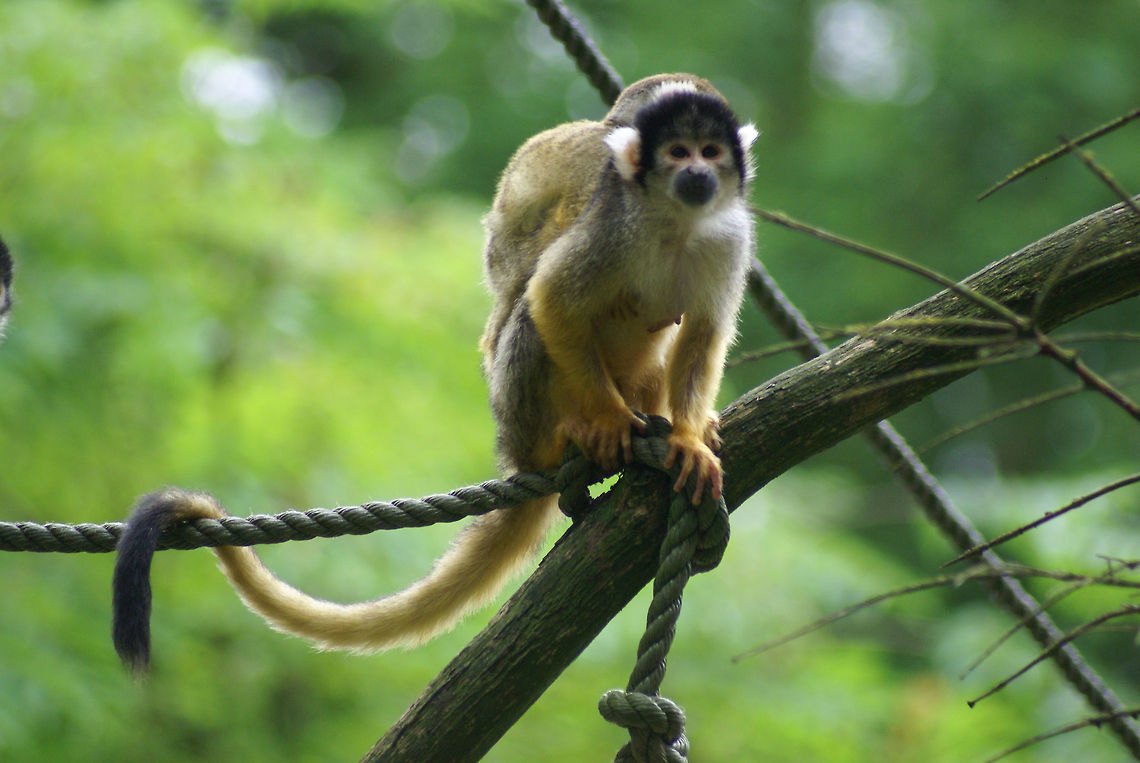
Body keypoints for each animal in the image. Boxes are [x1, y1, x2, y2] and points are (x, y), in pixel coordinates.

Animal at [112, 73, 758, 674]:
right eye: (678, 151)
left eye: (710, 152)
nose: (697, 173)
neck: (675, 223)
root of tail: (518, 453)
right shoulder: (608, 216)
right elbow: (551, 298)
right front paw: (608, 422)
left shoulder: (728, 239)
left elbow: (703, 332)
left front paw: (689, 436)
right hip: (521, 414)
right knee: (525, 311)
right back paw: (572, 434)